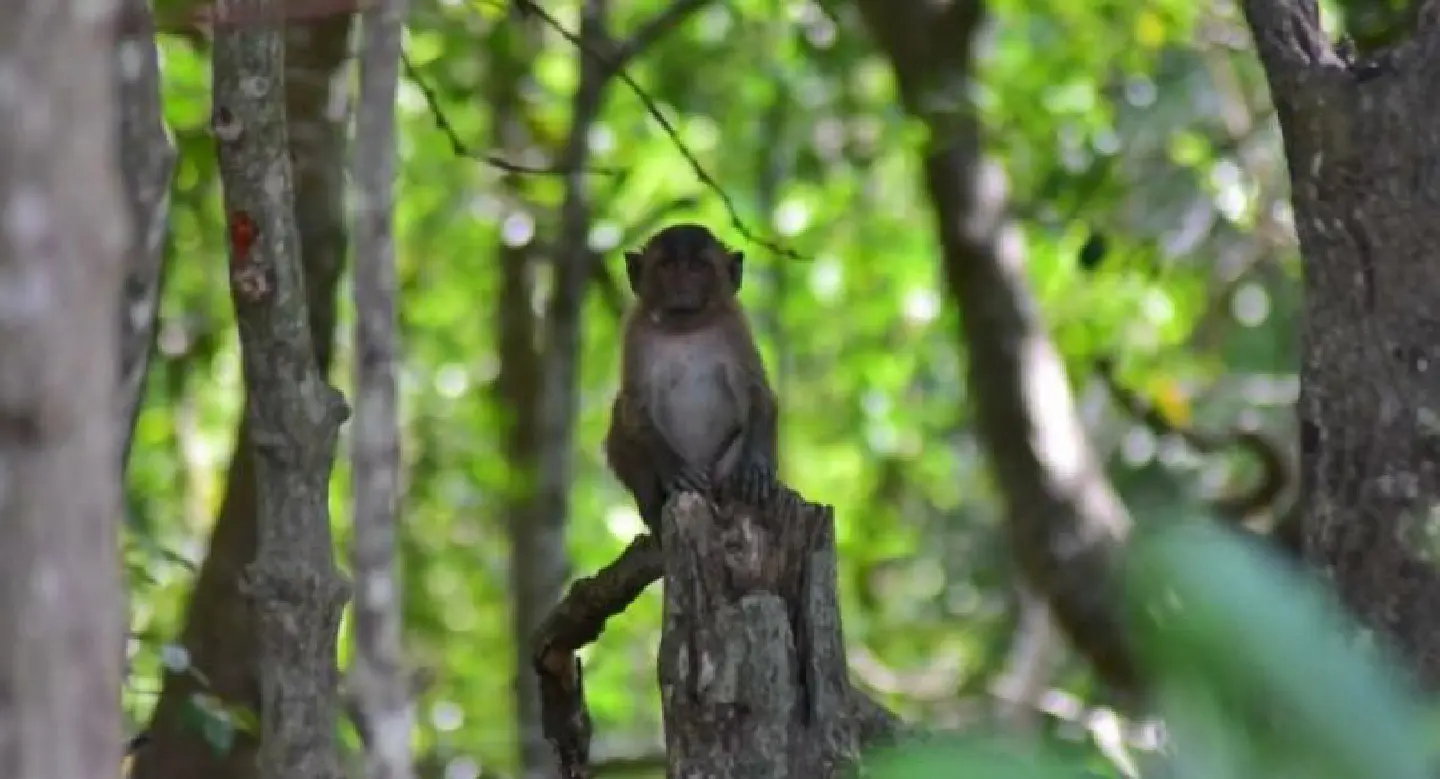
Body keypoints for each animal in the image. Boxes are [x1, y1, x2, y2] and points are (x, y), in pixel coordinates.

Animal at [602, 223, 780, 536]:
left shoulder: (735, 324)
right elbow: (634, 407)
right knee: (619, 418)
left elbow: (757, 391)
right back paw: (653, 511)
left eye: (697, 267)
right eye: (668, 266)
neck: (685, 326)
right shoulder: (634, 330)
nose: (682, 284)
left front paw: (755, 464)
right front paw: (675, 468)